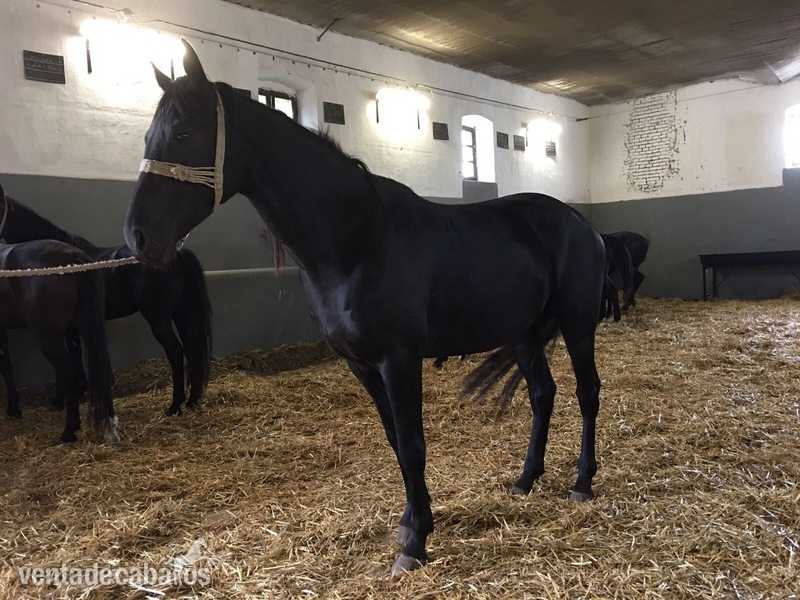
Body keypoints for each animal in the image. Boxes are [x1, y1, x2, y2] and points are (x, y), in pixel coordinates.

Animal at [0, 192, 117, 443]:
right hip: (87, 328)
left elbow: (5, 364)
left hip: (49, 336)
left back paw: (69, 430)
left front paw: (14, 407)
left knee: (67, 368)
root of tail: (73, 256)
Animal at [0, 193, 212, 416]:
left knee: (176, 352)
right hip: (181, 314)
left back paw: (175, 405)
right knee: (191, 349)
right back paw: (192, 400)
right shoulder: (71, 327)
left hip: (159, 319)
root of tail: (177, 254)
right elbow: (75, 355)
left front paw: (61, 399)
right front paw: (79, 392)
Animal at [122, 39, 605, 576]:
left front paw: (415, 544)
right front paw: (411, 521)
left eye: (183, 133)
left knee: (587, 393)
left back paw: (582, 482)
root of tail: (582, 223)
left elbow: (413, 446)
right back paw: (525, 480)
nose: (138, 237)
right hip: (523, 334)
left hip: (578, 324)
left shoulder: (399, 360)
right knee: (543, 394)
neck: (357, 240)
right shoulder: (361, 364)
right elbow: (395, 441)